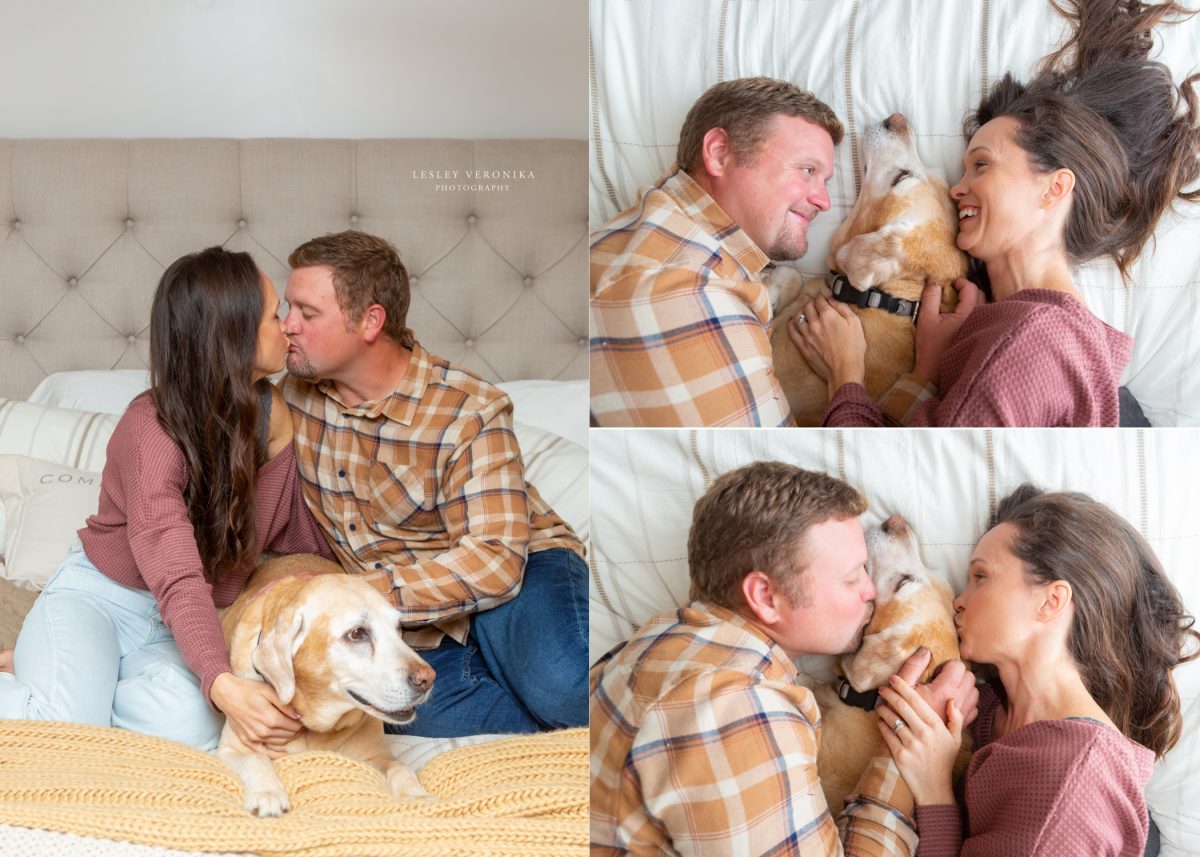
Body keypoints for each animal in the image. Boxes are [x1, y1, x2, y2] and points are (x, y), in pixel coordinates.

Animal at [218, 554, 434, 816]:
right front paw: (267, 793)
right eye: (357, 633)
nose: (428, 679)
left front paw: (417, 795)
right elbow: (255, 758)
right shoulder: (230, 748)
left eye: (398, 628)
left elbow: (399, 767)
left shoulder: (376, 756)